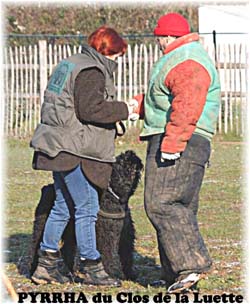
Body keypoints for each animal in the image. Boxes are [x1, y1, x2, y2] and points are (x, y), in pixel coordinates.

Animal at [20, 151, 143, 282]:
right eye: (120, 161)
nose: (131, 153)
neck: (114, 197)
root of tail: (46, 188)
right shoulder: (107, 236)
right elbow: (109, 254)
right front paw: (114, 273)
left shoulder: (126, 236)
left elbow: (126, 255)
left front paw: (130, 274)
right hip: (41, 225)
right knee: (34, 246)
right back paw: (31, 269)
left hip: (70, 232)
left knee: (66, 250)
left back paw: (69, 272)